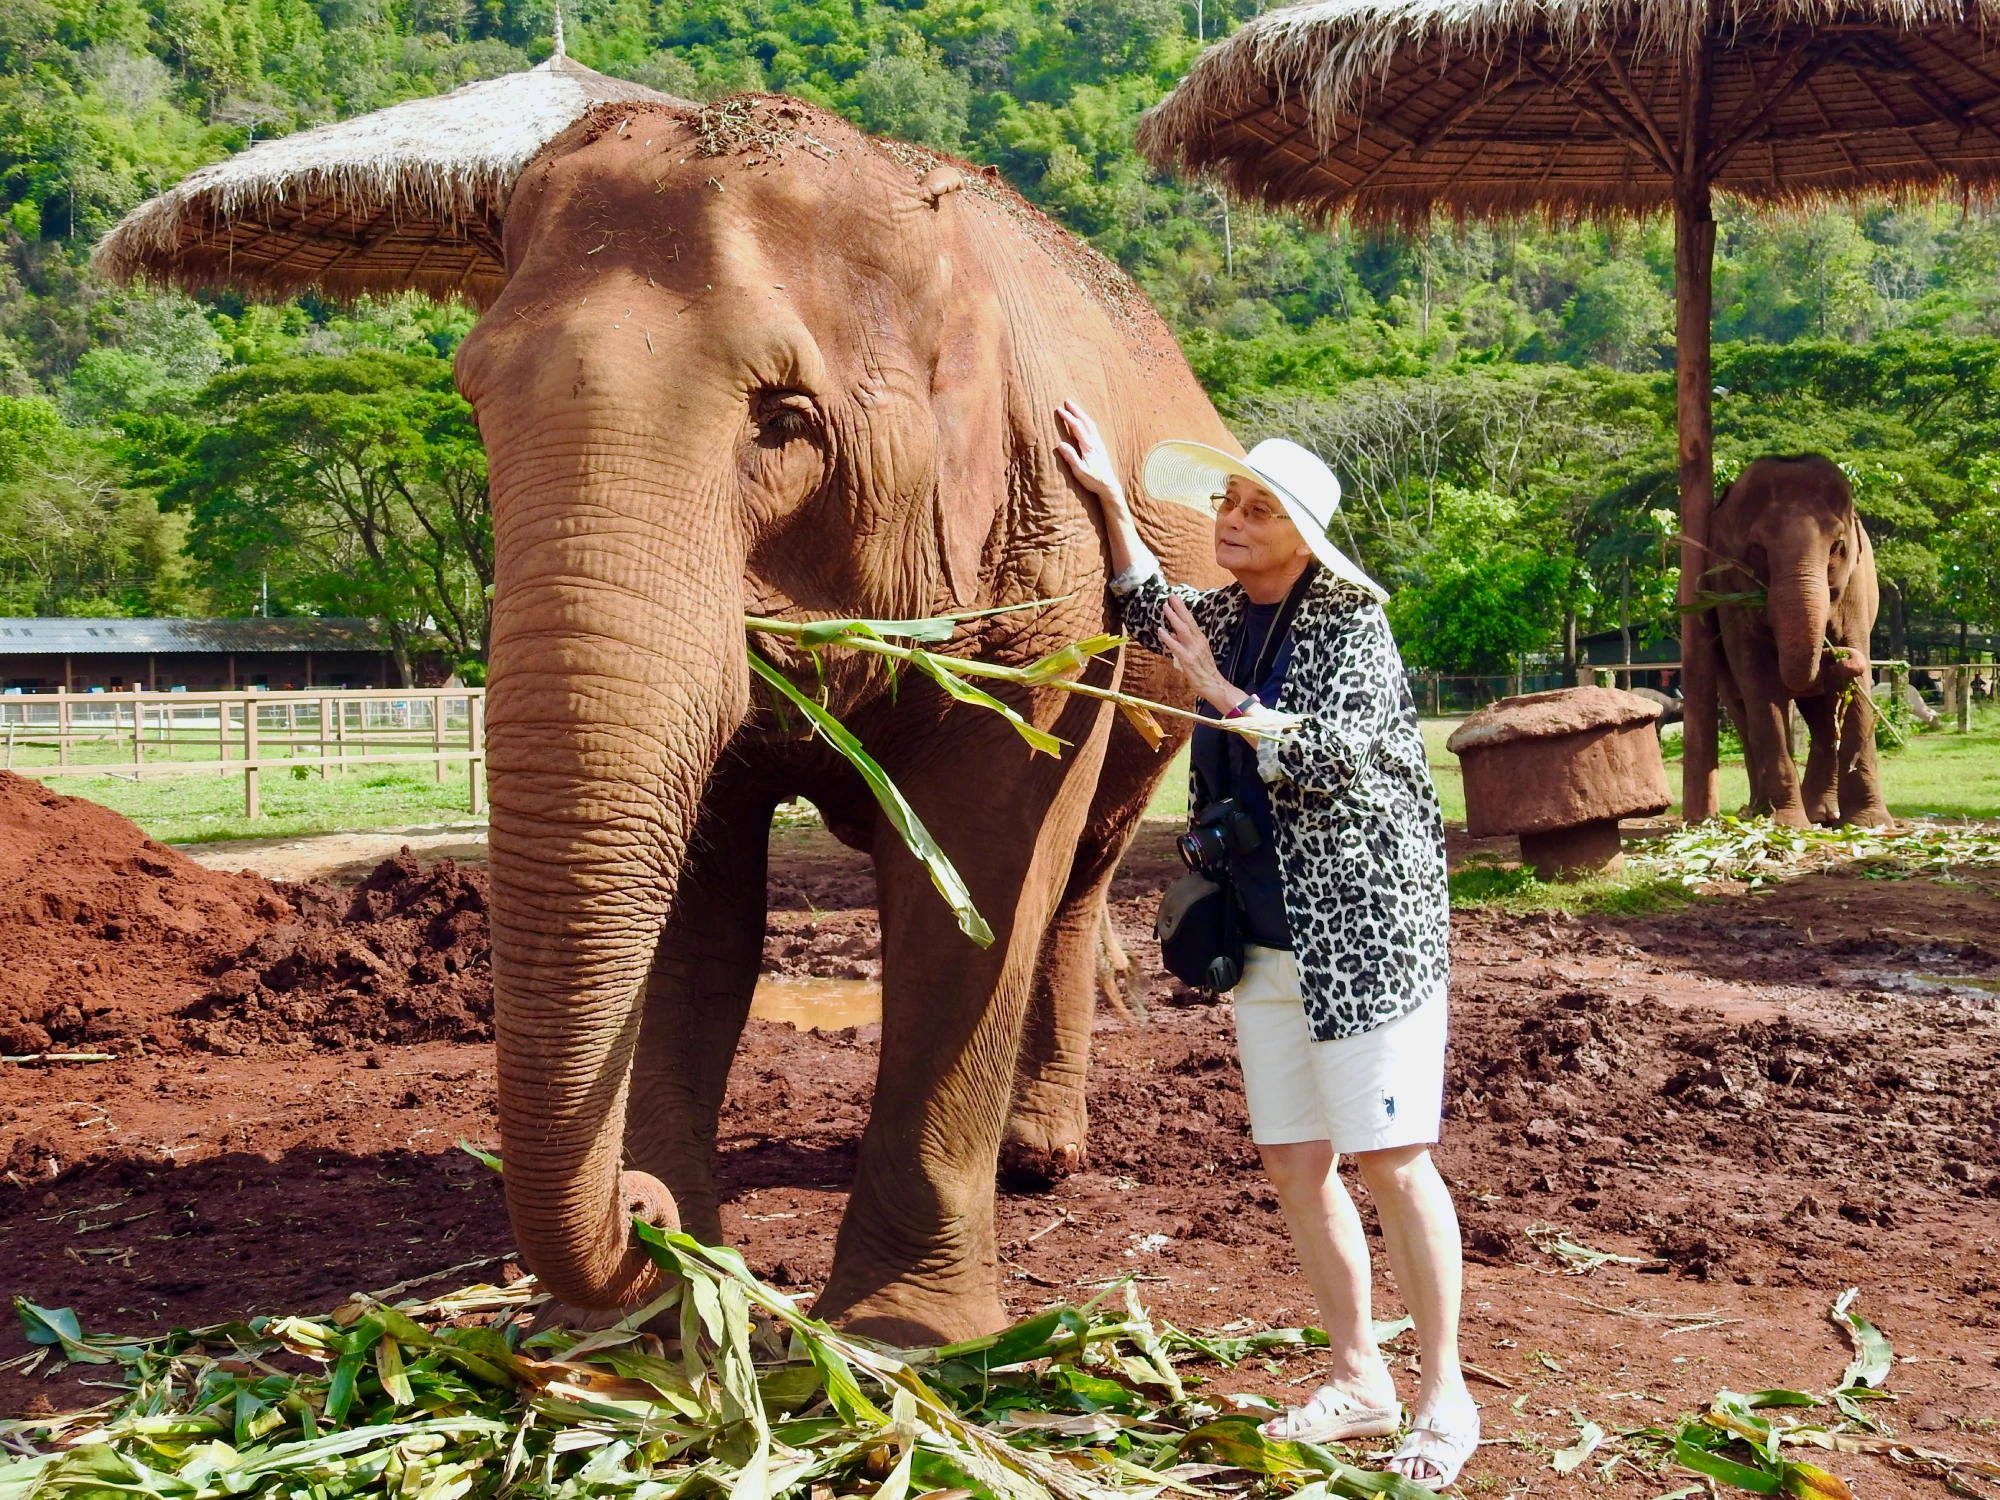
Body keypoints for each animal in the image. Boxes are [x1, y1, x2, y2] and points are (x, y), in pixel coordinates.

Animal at [1707, 454, 1891, 829]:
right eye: (1757, 549)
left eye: (1837, 547)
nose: (1835, 653)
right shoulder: (1729, 592)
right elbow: (1759, 682)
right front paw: (1787, 824)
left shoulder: (1856, 589)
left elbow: (1855, 689)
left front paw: (1873, 825)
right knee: (1743, 711)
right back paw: (1760, 811)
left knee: (1823, 717)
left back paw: (1824, 813)